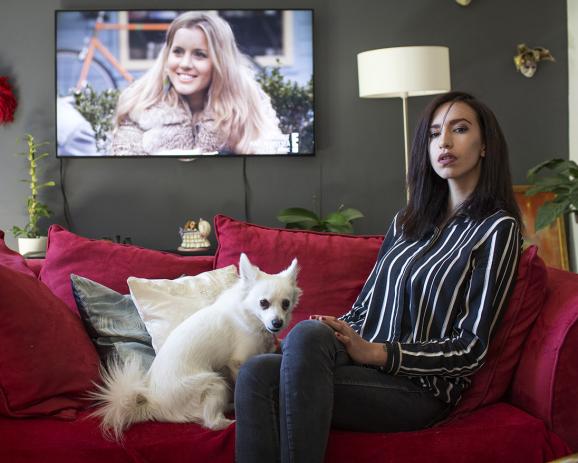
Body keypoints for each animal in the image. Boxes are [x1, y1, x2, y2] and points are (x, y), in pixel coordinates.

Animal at [92, 256, 300, 440]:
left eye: (286, 304)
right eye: (263, 303)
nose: (277, 323)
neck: (250, 315)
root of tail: (155, 404)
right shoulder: (238, 362)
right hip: (215, 384)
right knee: (210, 421)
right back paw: (229, 421)